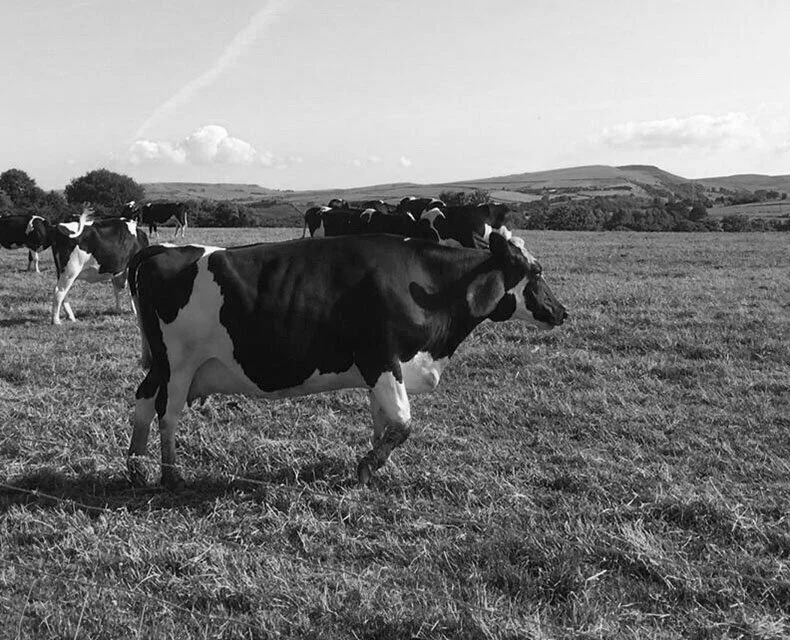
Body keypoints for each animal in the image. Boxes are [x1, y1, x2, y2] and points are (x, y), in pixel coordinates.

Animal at [126, 231, 567, 489]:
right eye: (535, 271)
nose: (562, 312)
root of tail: (161, 250)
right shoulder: (381, 358)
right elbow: (402, 423)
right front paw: (367, 467)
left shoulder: (383, 370)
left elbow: (383, 423)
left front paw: (373, 468)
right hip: (179, 365)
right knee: (168, 413)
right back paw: (171, 475)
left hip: (163, 366)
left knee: (143, 401)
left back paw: (135, 466)